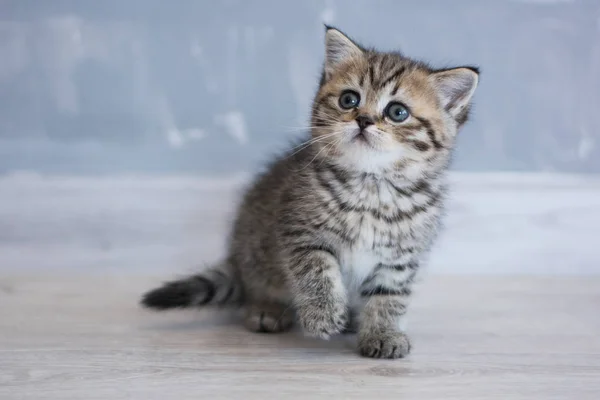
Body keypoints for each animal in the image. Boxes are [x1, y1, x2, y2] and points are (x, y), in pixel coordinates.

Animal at [141, 27, 478, 360]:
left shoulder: (400, 257)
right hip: (256, 250)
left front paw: (383, 333)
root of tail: (236, 260)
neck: (371, 187)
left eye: (398, 112)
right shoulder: (299, 230)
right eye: (349, 99)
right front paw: (323, 314)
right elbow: (316, 271)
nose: (363, 119)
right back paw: (266, 309)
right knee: (258, 285)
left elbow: (389, 296)